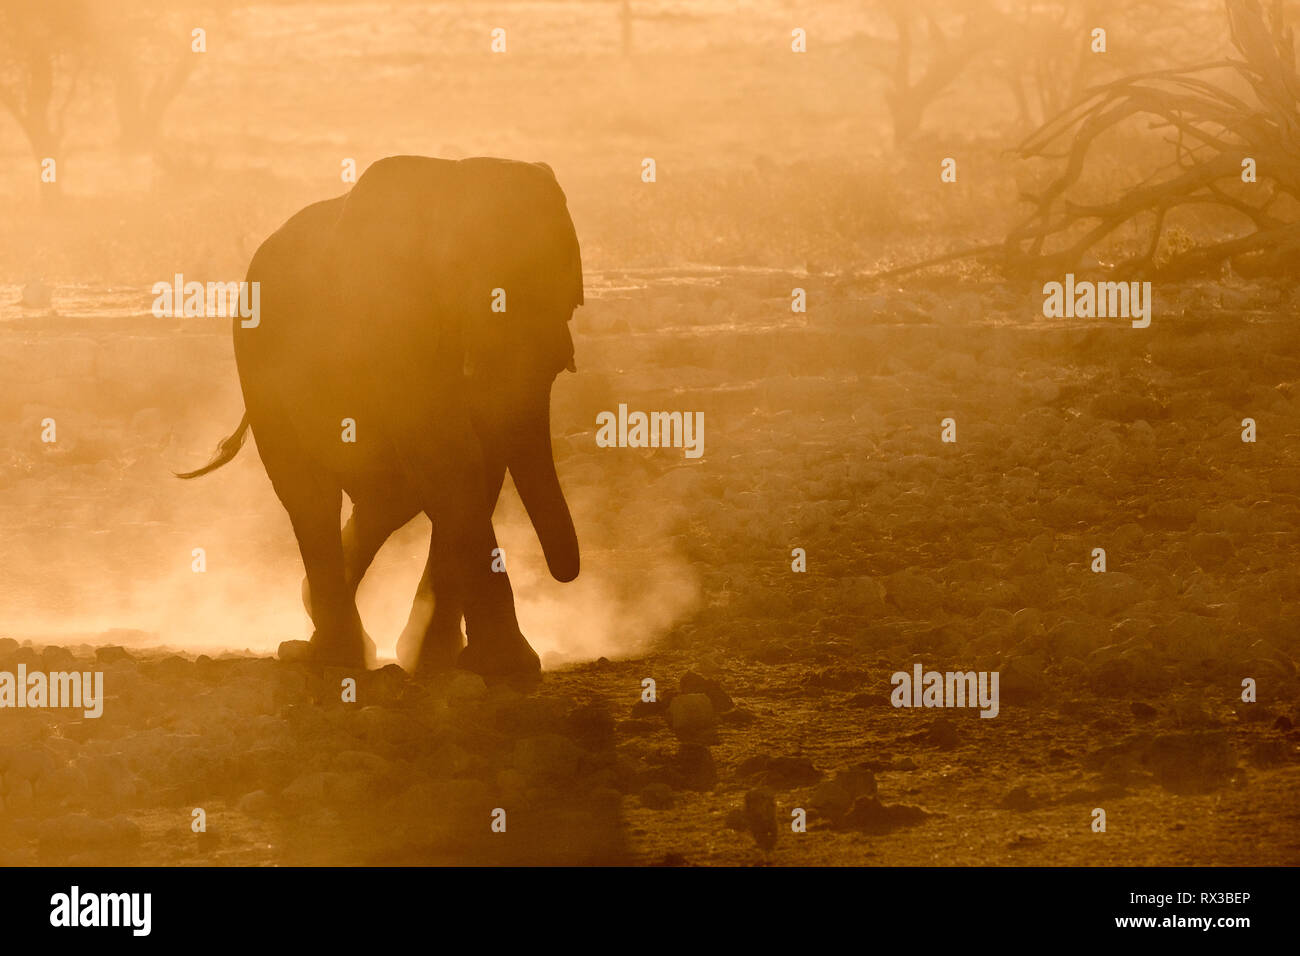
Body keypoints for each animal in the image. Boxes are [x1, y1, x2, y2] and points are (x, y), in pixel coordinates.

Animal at [179, 155, 584, 678]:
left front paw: (441, 661)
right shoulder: (391, 324)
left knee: (390, 495)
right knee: (311, 495)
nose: (566, 575)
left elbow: (475, 464)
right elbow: (452, 460)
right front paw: (506, 667)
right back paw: (336, 654)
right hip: (256, 364)